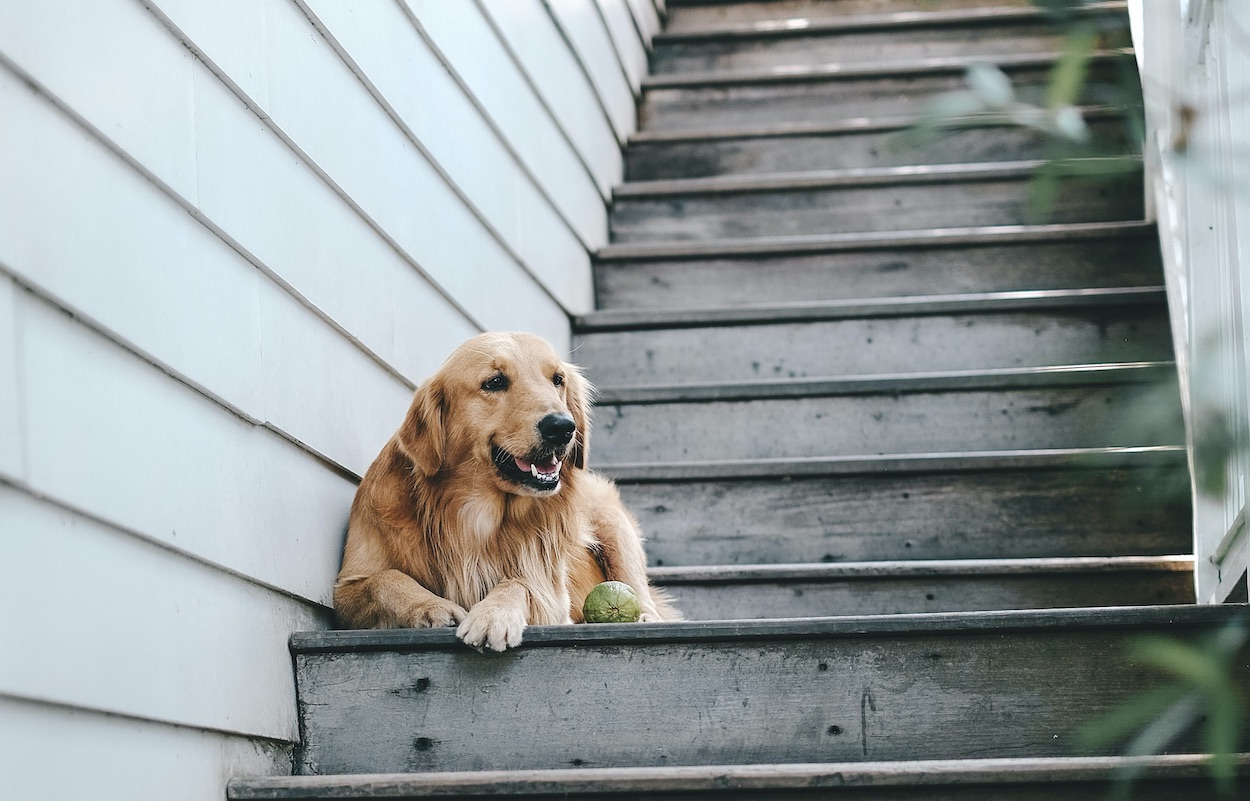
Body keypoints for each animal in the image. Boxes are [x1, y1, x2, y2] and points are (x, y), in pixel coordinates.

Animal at [332, 329, 675, 649]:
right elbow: (384, 579)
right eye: (495, 382)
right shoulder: (347, 588)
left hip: (614, 524)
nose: (562, 427)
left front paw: (492, 615)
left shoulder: (549, 594)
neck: (474, 517)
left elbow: (518, 582)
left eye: (558, 380)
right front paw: (430, 606)